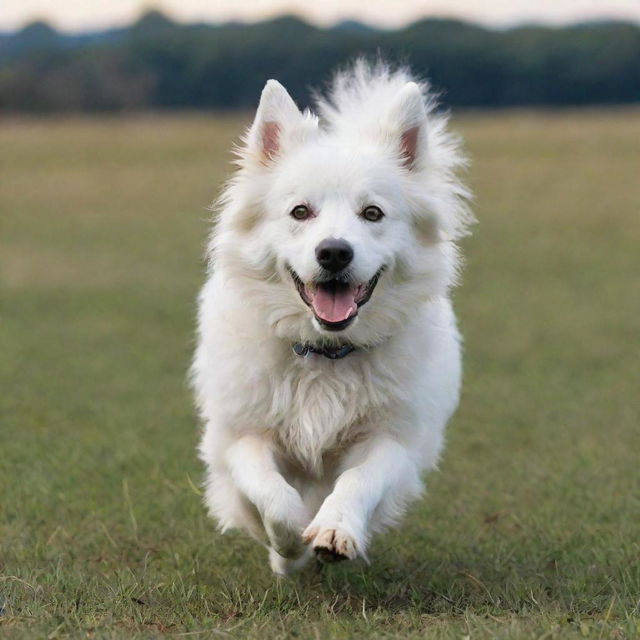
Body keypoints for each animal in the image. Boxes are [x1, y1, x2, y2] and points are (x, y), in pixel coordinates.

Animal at [192, 61, 472, 576]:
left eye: (372, 213)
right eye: (300, 211)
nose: (335, 252)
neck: (324, 353)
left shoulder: (392, 440)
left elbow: (361, 479)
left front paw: (334, 531)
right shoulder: (240, 436)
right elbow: (272, 495)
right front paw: (290, 549)